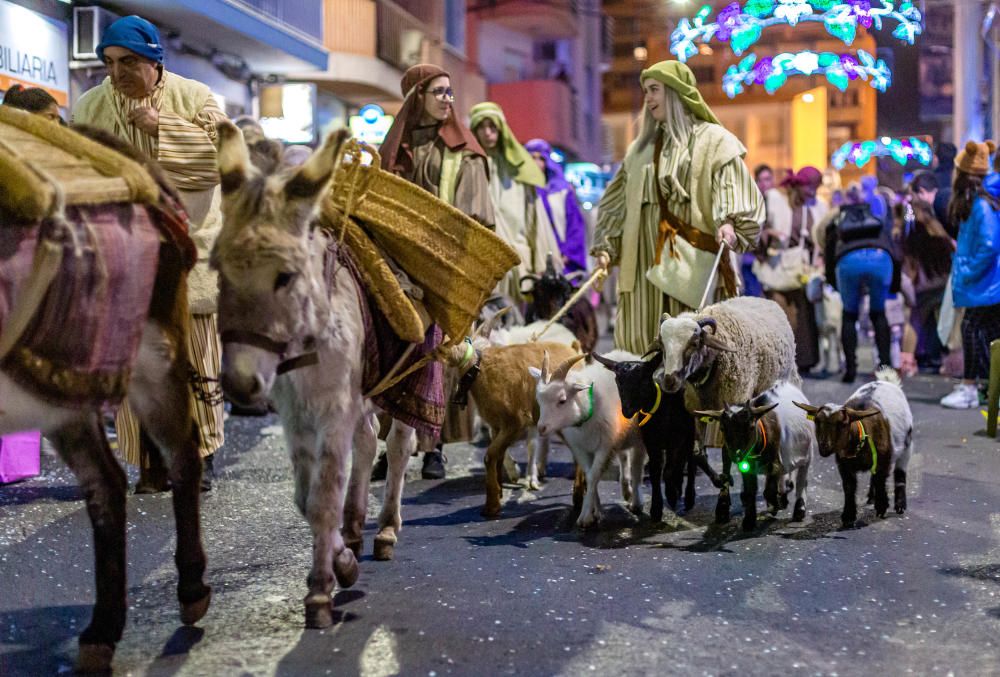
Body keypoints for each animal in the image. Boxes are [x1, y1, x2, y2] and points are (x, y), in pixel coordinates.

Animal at [532, 348, 648, 528]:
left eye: (562, 400)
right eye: (539, 400)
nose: (541, 428)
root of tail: (628, 355)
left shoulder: (604, 447)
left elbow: (594, 476)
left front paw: (585, 517)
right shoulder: (581, 447)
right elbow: (590, 475)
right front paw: (596, 512)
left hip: (639, 438)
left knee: (637, 468)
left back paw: (636, 502)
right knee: (624, 458)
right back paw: (625, 489)